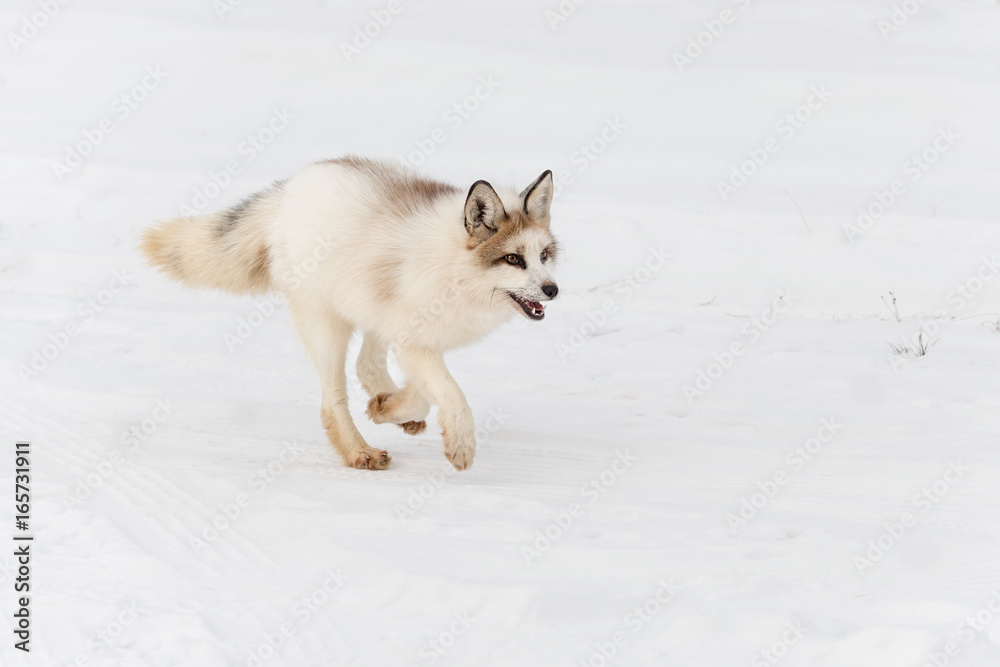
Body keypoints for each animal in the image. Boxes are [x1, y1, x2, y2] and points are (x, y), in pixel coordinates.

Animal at [140, 157, 559, 471]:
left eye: (543, 256)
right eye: (513, 259)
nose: (552, 290)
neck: (457, 272)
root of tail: (290, 189)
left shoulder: (417, 337)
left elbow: (424, 393)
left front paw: (388, 408)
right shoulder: (414, 341)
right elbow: (450, 395)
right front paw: (460, 443)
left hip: (370, 310)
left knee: (365, 366)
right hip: (327, 326)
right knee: (332, 402)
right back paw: (359, 451)